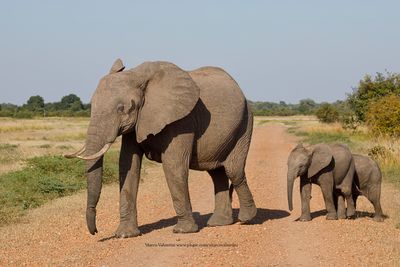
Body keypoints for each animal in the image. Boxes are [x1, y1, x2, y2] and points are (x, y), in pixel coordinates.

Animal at [65, 59, 256, 239]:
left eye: (121, 109)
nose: (95, 231)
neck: (137, 75)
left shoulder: (182, 119)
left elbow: (173, 166)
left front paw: (183, 231)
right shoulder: (138, 123)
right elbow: (128, 166)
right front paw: (124, 235)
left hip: (245, 122)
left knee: (233, 171)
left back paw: (247, 219)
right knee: (217, 173)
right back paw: (218, 223)